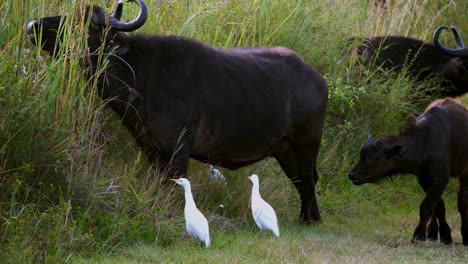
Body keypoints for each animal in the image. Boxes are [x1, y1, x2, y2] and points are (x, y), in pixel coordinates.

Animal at [27, 0, 330, 223]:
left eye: (83, 23)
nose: (33, 25)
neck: (141, 75)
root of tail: (318, 79)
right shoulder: (150, 148)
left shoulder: (179, 151)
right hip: (285, 150)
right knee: (304, 180)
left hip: (307, 144)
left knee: (308, 180)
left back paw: (308, 219)